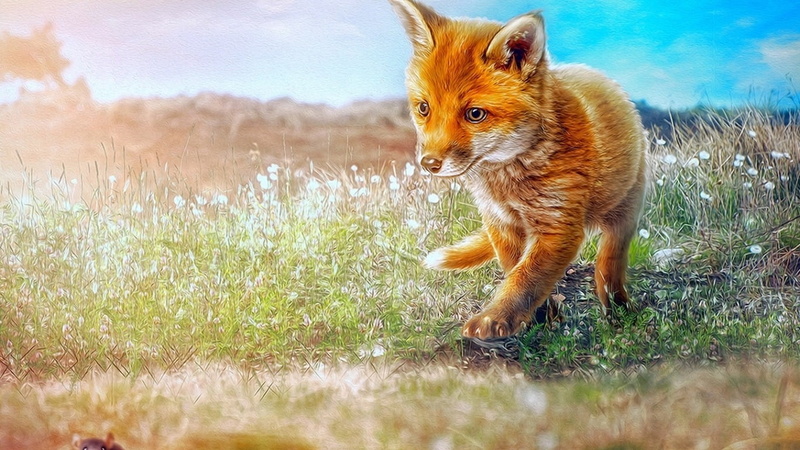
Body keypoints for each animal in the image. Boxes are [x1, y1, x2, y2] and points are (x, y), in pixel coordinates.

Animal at [389, 0, 647, 340]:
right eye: (423, 108)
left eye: (475, 114)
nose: (429, 163)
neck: (507, 181)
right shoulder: (500, 222)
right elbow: (515, 270)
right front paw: (540, 318)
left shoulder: (559, 225)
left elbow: (527, 277)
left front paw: (494, 319)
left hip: (625, 208)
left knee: (610, 261)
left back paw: (616, 305)